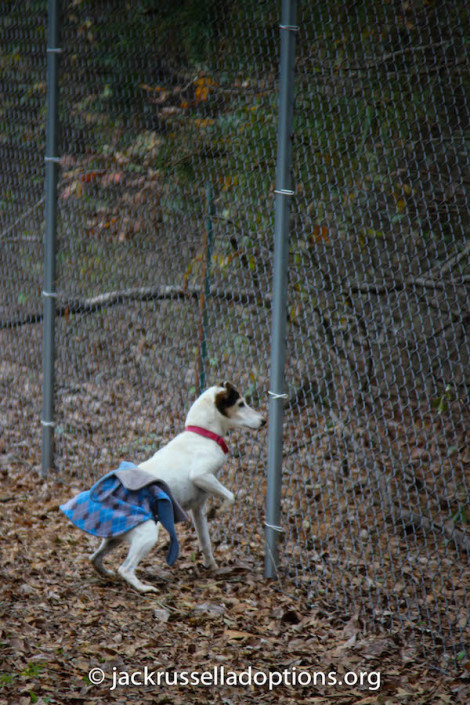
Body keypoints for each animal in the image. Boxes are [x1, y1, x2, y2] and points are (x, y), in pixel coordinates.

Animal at [88, 382, 264, 592]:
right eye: (241, 404)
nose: (264, 421)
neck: (203, 435)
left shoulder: (198, 510)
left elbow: (205, 542)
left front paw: (212, 566)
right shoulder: (200, 475)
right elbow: (231, 496)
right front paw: (218, 510)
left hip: (114, 539)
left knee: (94, 558)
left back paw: (106, 573)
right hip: (147, 534)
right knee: (125, 569)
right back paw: (144, 588)